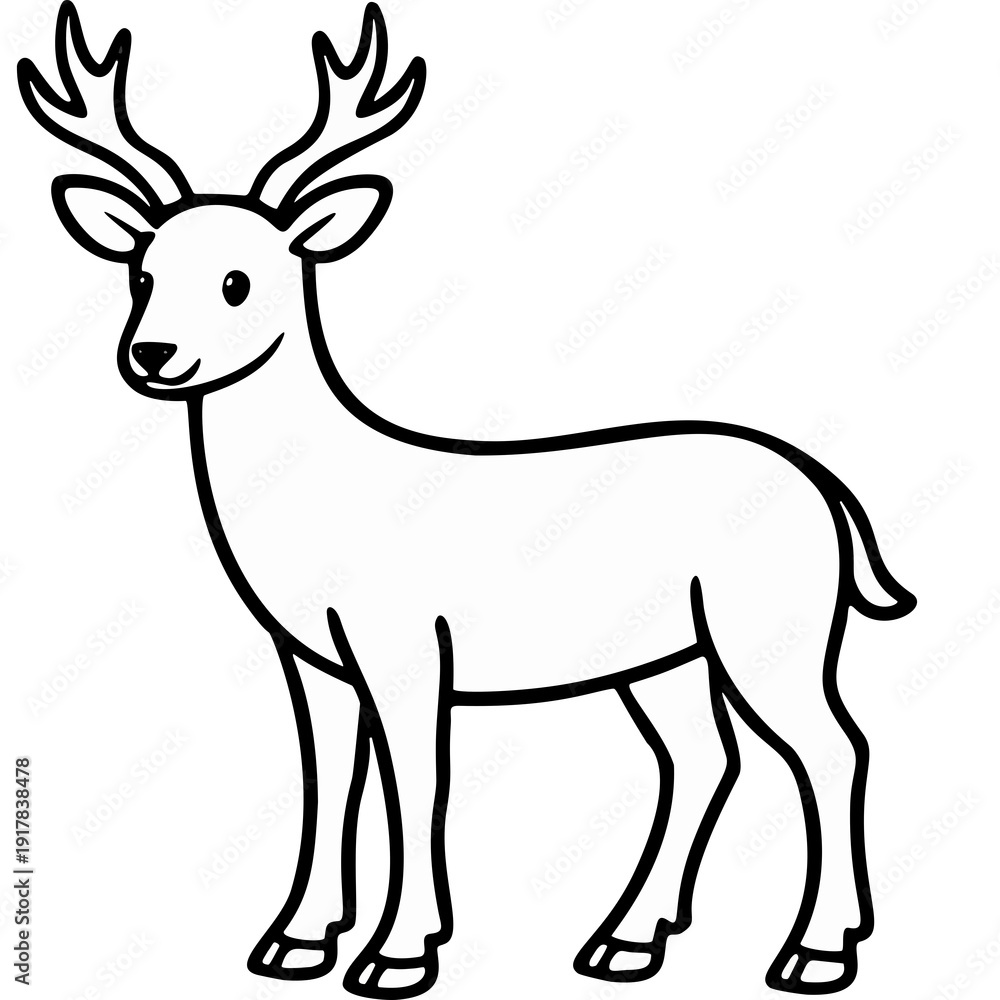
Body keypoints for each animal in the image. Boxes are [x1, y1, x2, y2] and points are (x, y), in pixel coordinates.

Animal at [20, 3, 916, 997]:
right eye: (142, 273)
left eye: (238, 281)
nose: (152, 356)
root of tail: (826, 489)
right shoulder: (310, 658)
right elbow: (327, 782)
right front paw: (295, 942)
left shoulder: (408, 645)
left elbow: (417, 784)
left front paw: (398, 953)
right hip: (667, 655)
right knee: (702, 758)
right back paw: (626, 941)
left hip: (771, 625)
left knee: (834, 747)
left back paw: (814, 951)